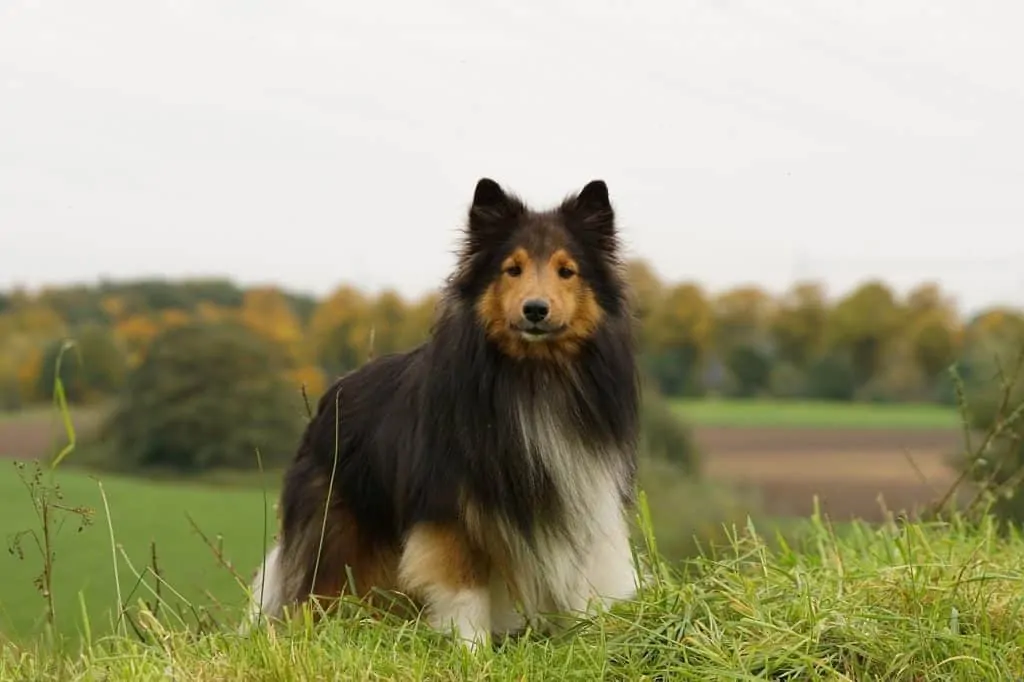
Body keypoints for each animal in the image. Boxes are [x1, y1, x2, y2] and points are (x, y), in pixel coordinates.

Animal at [245, 176, 638, 647]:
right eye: (513, 269)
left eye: (567, 271)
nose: (535, 310)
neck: (533, 375)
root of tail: (331, 395)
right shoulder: (449, 510)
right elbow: (465, 590)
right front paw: (472, 649)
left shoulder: (582, 488)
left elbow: (584, 583)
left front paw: (590, 636)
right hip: (336, 534)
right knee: (315, 592)